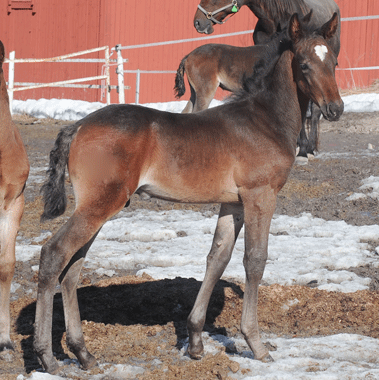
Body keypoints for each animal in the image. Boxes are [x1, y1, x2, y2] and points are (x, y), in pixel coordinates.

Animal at [193, 0, 342, 162]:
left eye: (336, 63)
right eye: (303, 65)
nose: (198, 22)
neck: (273, 19)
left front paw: (303, 150)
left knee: (315, 112)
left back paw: (310, 148)